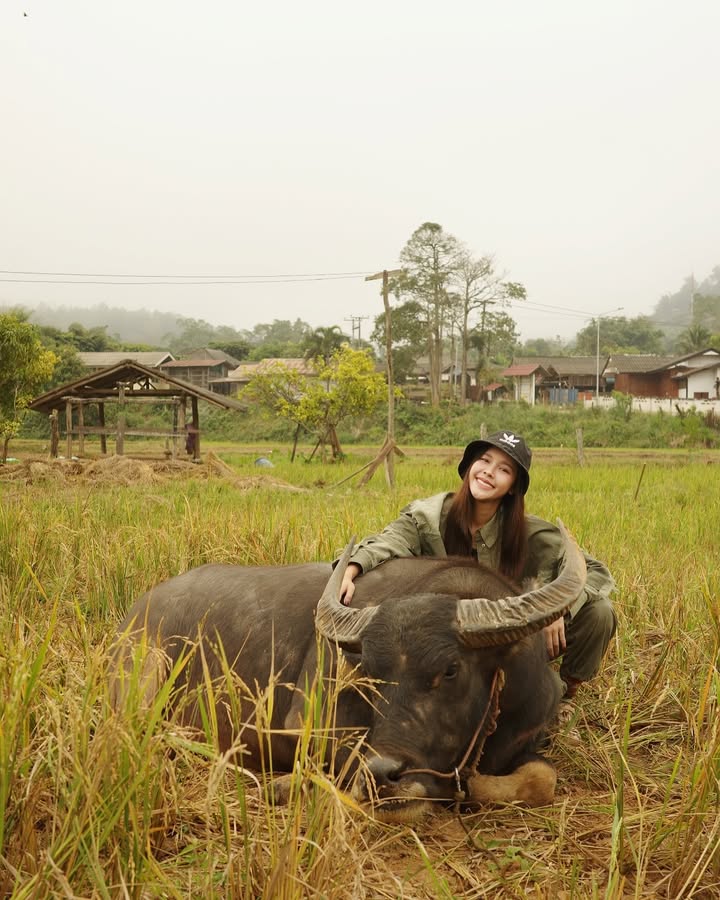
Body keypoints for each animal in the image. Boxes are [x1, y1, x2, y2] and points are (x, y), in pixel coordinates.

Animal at [111, 520, 584, 824]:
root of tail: (140, 610)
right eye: (369, 678)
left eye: (451, 670)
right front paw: (286, 787)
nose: (384, 776)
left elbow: (542, 779)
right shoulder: (306, 725)